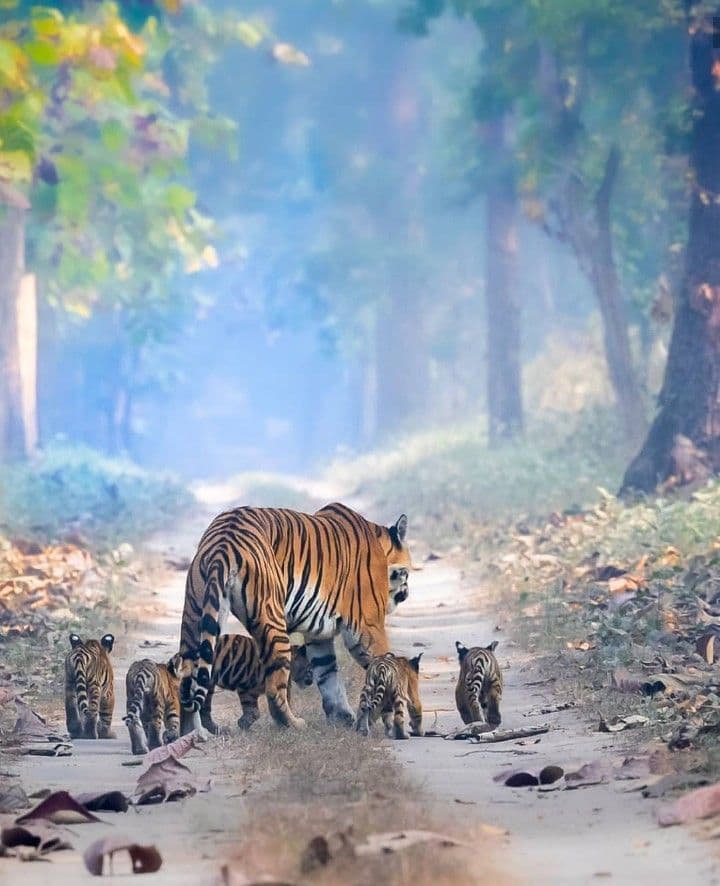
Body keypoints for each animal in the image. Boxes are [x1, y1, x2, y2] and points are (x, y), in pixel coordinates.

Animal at [178, 502, 411, 733]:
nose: (407, 593)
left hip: (194, 614)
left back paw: (194, 733)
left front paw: (342, 717)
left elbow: (328, 675)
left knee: (188, 680)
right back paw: (293, 723)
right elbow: (384, 666)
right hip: (273, 620)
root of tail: (223, 541)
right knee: (274, 686)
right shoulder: (367, 626)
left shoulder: (318, 634)